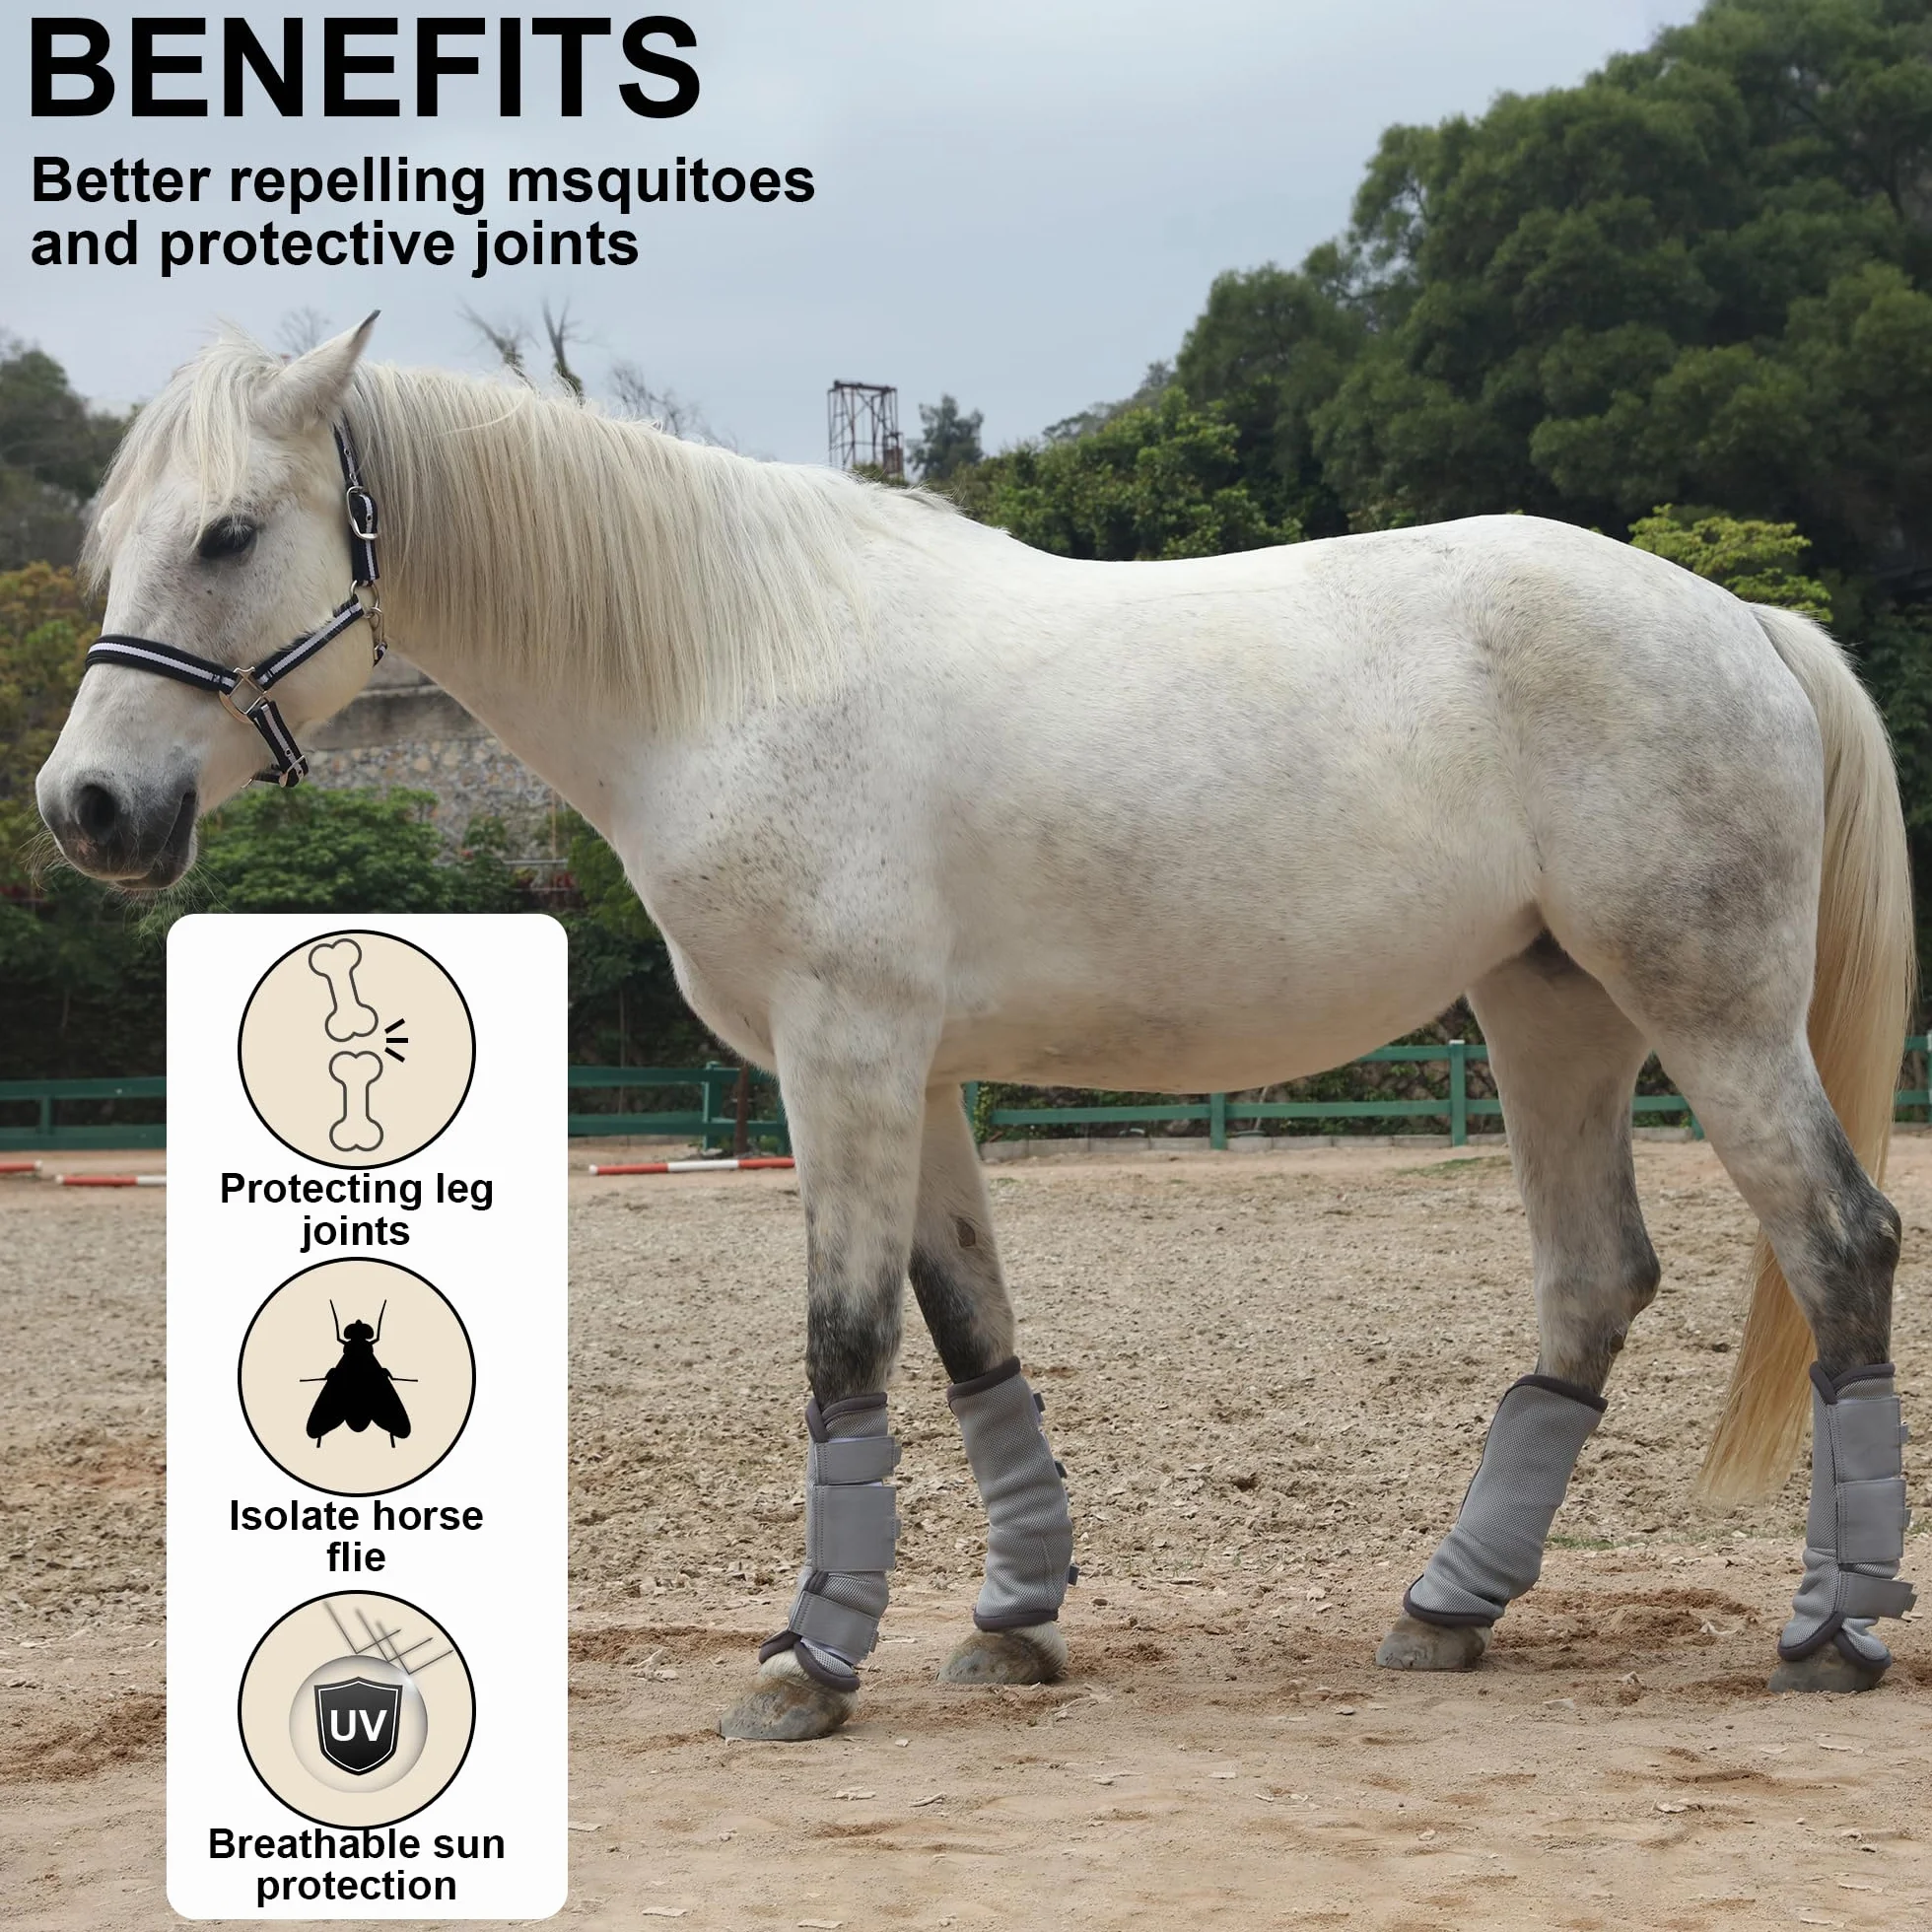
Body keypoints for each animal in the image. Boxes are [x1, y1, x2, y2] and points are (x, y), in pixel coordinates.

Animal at [37, 320, 1916, 1741]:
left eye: (226, 536)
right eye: (116, 547)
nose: (87, 809)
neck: (728, 668)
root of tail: (1741, 623)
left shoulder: (843, 1062)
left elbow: (846, 1344)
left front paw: (807, 1664)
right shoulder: (920, 1079)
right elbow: (968, 1337)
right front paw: (1011, 1623)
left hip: (1708, 1014)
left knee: (1840, 1245)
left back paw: (1831, 1633)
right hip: (1550, 1017)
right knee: (1596, 1281)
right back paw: (1449, 1608)